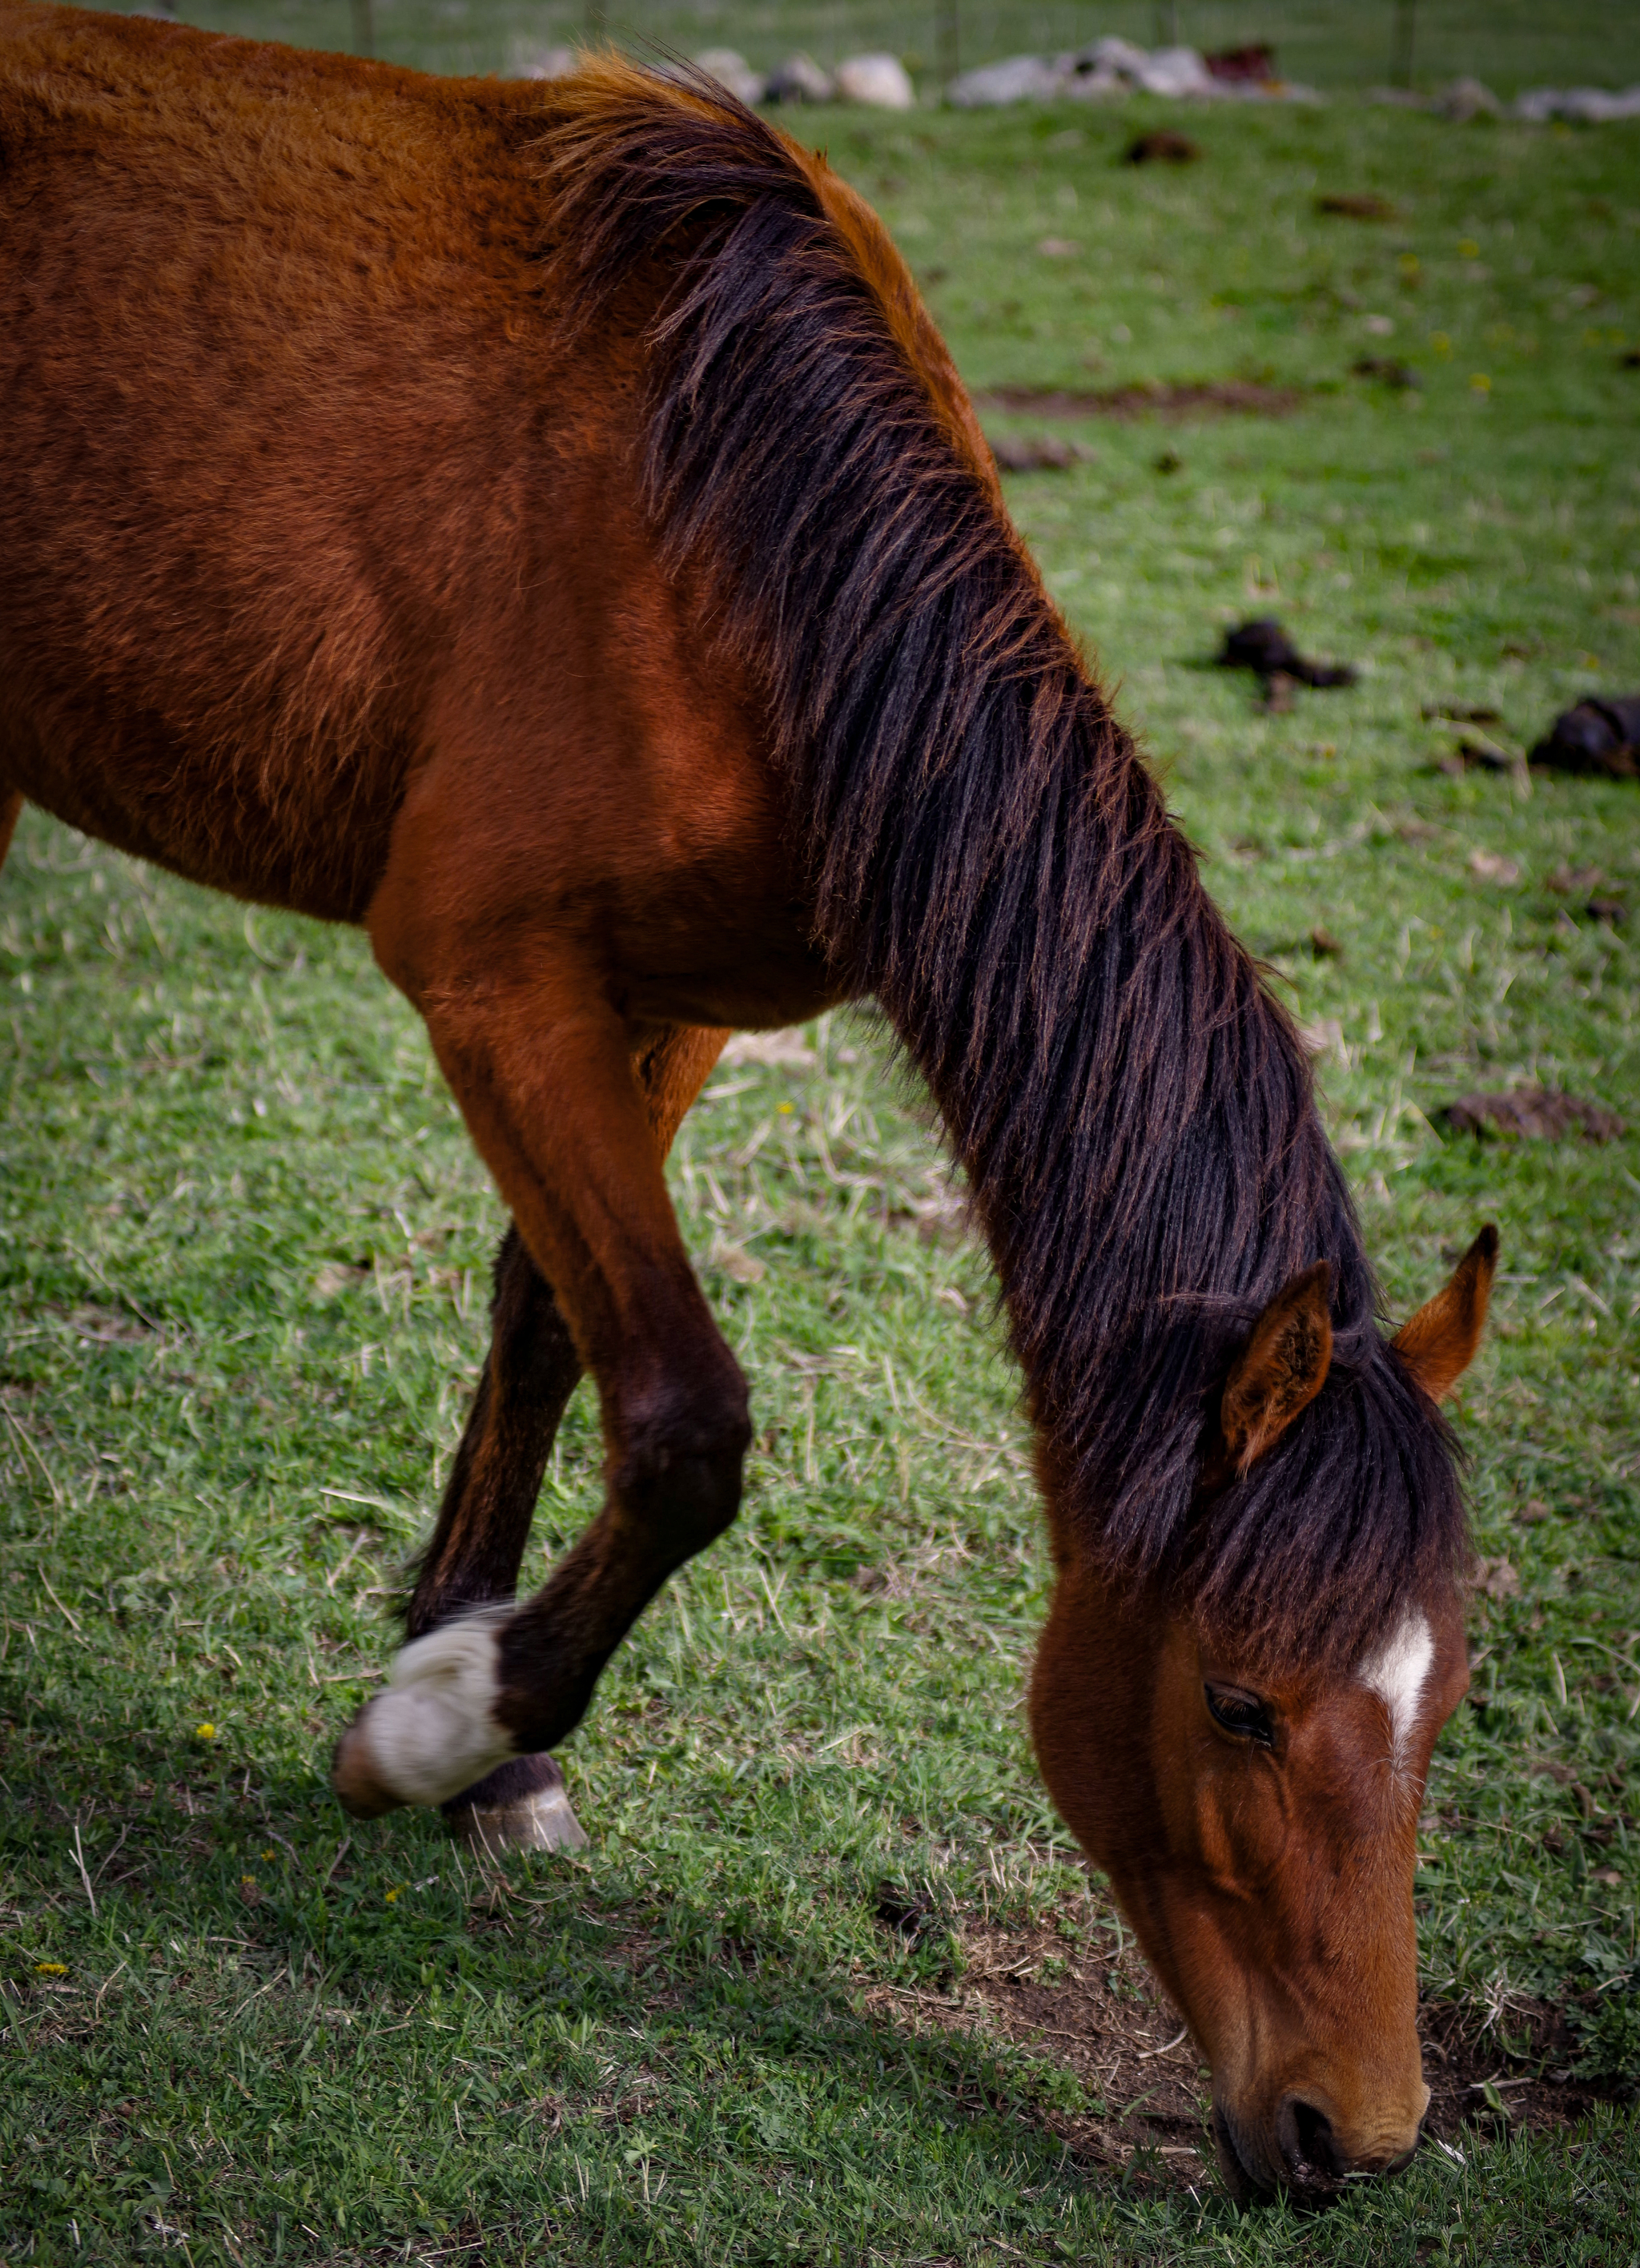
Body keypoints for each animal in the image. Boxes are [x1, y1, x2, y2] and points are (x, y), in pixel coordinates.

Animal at [0, 0, 1497, 2195]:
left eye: (1443, 1699)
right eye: (1238, 1704)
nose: (1350, 2134)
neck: (725, 534)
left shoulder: (673, 1008)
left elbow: (547, 1321)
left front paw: (485, 1721)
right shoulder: (491, 974)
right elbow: (688, 1418)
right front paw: (438, 1730)